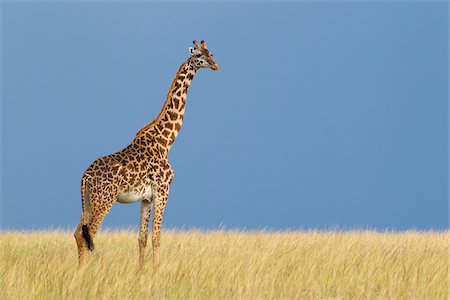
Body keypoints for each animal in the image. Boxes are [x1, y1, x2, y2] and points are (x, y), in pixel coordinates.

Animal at [74, 40, 220, 268]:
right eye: (198, 55)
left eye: (210, 52)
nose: (215, 65)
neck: (166, 141)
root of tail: (85, 177)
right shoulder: (163, 192)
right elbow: (156, 237)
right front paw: (156, 270)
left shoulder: (146, 198)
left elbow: (142, 238)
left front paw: (141, 270)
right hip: (104, 200)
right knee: (88, 234)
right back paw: (83, 272)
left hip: (88, 201)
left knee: (77, 233)